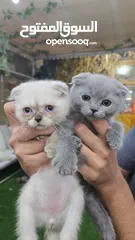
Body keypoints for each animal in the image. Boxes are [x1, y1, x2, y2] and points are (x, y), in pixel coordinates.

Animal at [8, 80, 84, 240]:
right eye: (27, 110)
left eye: (49, 108)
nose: (37, 118)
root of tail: (51, 219)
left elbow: (58, 132)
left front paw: (52, 146)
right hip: (26, 208)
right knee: (28, 234)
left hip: (76, 205)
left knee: (67, 232)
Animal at [46, 73, 129, 240]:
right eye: (85, 97)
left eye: (106, 102)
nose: (94, 109)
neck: (87, 121)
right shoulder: (66, 125)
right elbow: (66, 141)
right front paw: (65, 163)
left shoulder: (107, 121)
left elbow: (118, 124)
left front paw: (115, 139)